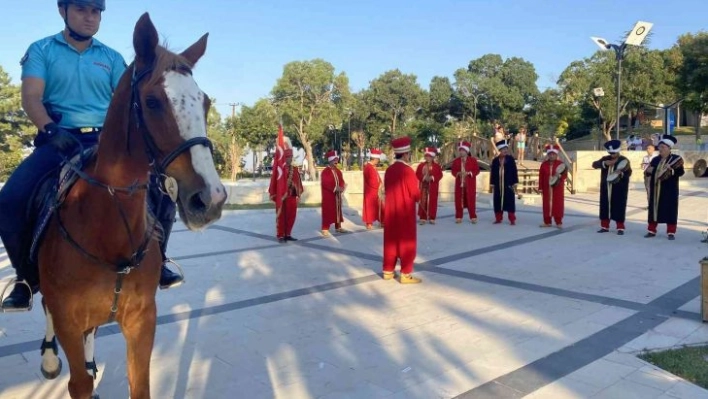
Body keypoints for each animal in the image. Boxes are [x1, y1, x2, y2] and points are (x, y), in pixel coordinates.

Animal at [34, 13, 225, 399]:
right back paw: (49, 357)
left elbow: (140, 384)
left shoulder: (141, 320)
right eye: (151, 102)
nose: (210, 198)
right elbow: (78, 383)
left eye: (205, 102)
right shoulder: (66, 319)